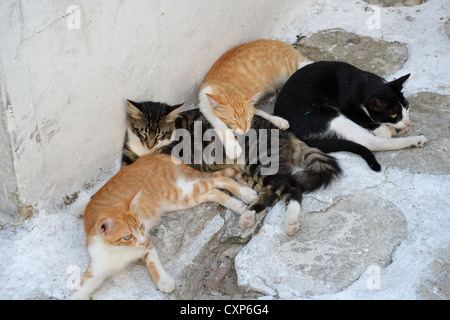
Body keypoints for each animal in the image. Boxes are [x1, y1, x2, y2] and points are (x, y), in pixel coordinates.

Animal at [70, 152, 256, 300]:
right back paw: (240, 208)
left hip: (182, 189)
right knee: (212, 192)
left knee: (219, 179)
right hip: (178, 201)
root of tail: (156, 154)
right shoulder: (95, 269)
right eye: (127, 236)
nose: (141, 240)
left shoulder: (147, 244)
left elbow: (154, 263)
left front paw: (164, 281)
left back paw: (246, 194)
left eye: (141, 226)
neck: (120, 252)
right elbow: (79, 290)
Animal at [123, 101, 342, 236]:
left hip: (258, 162)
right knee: (270, 192)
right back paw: (249, 215)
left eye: (161, 135)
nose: (150, 145)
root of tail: (286, 134)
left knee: (291, 188)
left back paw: (290, 221)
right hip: (252, 170)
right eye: (142, 132)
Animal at [272, 59, 428, 170]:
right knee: (371, 143)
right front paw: (381, 128)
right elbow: (360, 117)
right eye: (395, 115)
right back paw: (413, 139)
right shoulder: (345, 105)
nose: (407, 122)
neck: (363, 83)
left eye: (407, 107)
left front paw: (393, 127)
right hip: (327, 115)